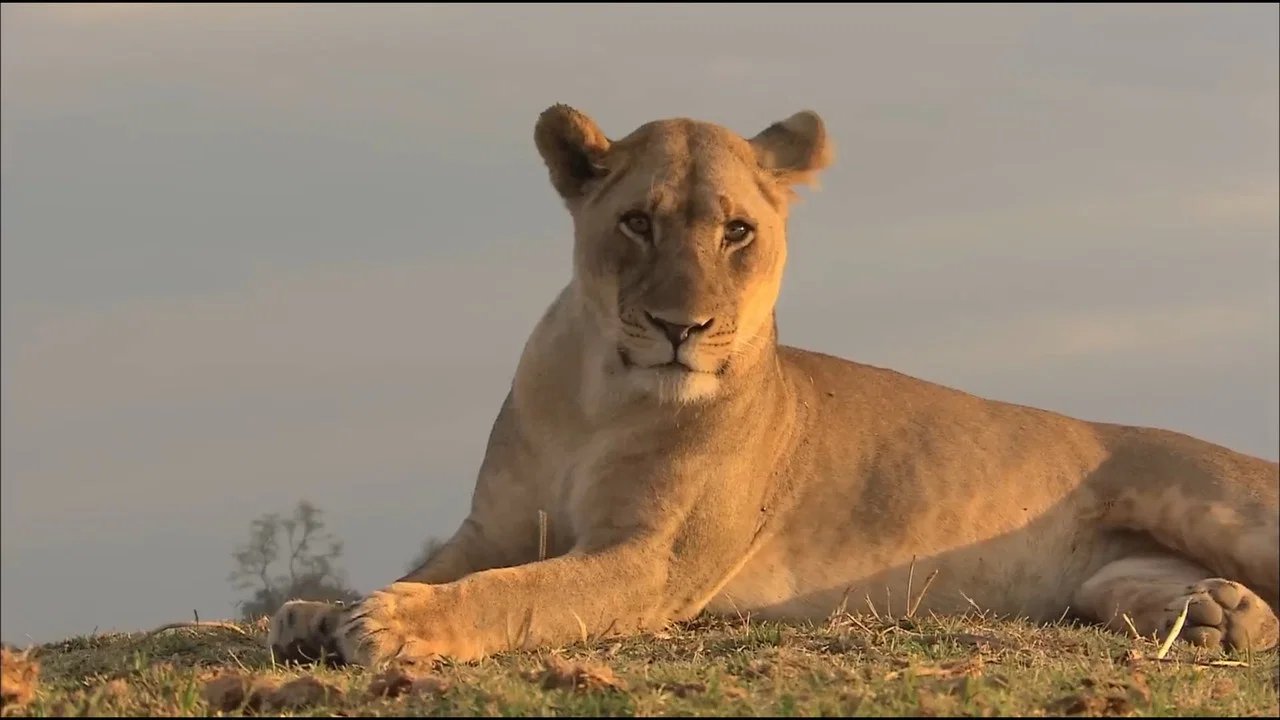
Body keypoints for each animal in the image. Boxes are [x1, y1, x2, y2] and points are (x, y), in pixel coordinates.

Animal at [268, 104, 1280, 669]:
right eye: (637, 223)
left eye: (738, 233)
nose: (680, 328)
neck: (599, 395)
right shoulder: (495, 526)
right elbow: (443, 568)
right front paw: (316, 614)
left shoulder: (650, 560)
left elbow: (516, 594)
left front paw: (390, 624)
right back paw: (1216, 617)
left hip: (1220, 503)